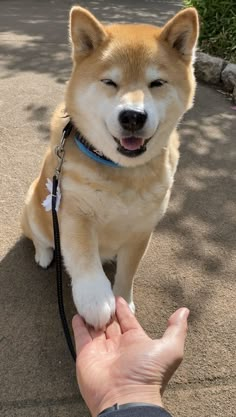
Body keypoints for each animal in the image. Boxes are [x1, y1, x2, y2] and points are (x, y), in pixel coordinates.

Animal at [21, 4, 199, 326]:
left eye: (156, 83)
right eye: (110, 82)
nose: (133, 116)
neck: (120, 171)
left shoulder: (142, 229)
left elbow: (128, 273)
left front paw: (122, 301)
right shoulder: (73, 212)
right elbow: (83, 255)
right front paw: (96, 299)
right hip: (34, 205)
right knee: (40, 239)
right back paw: (43, 255)